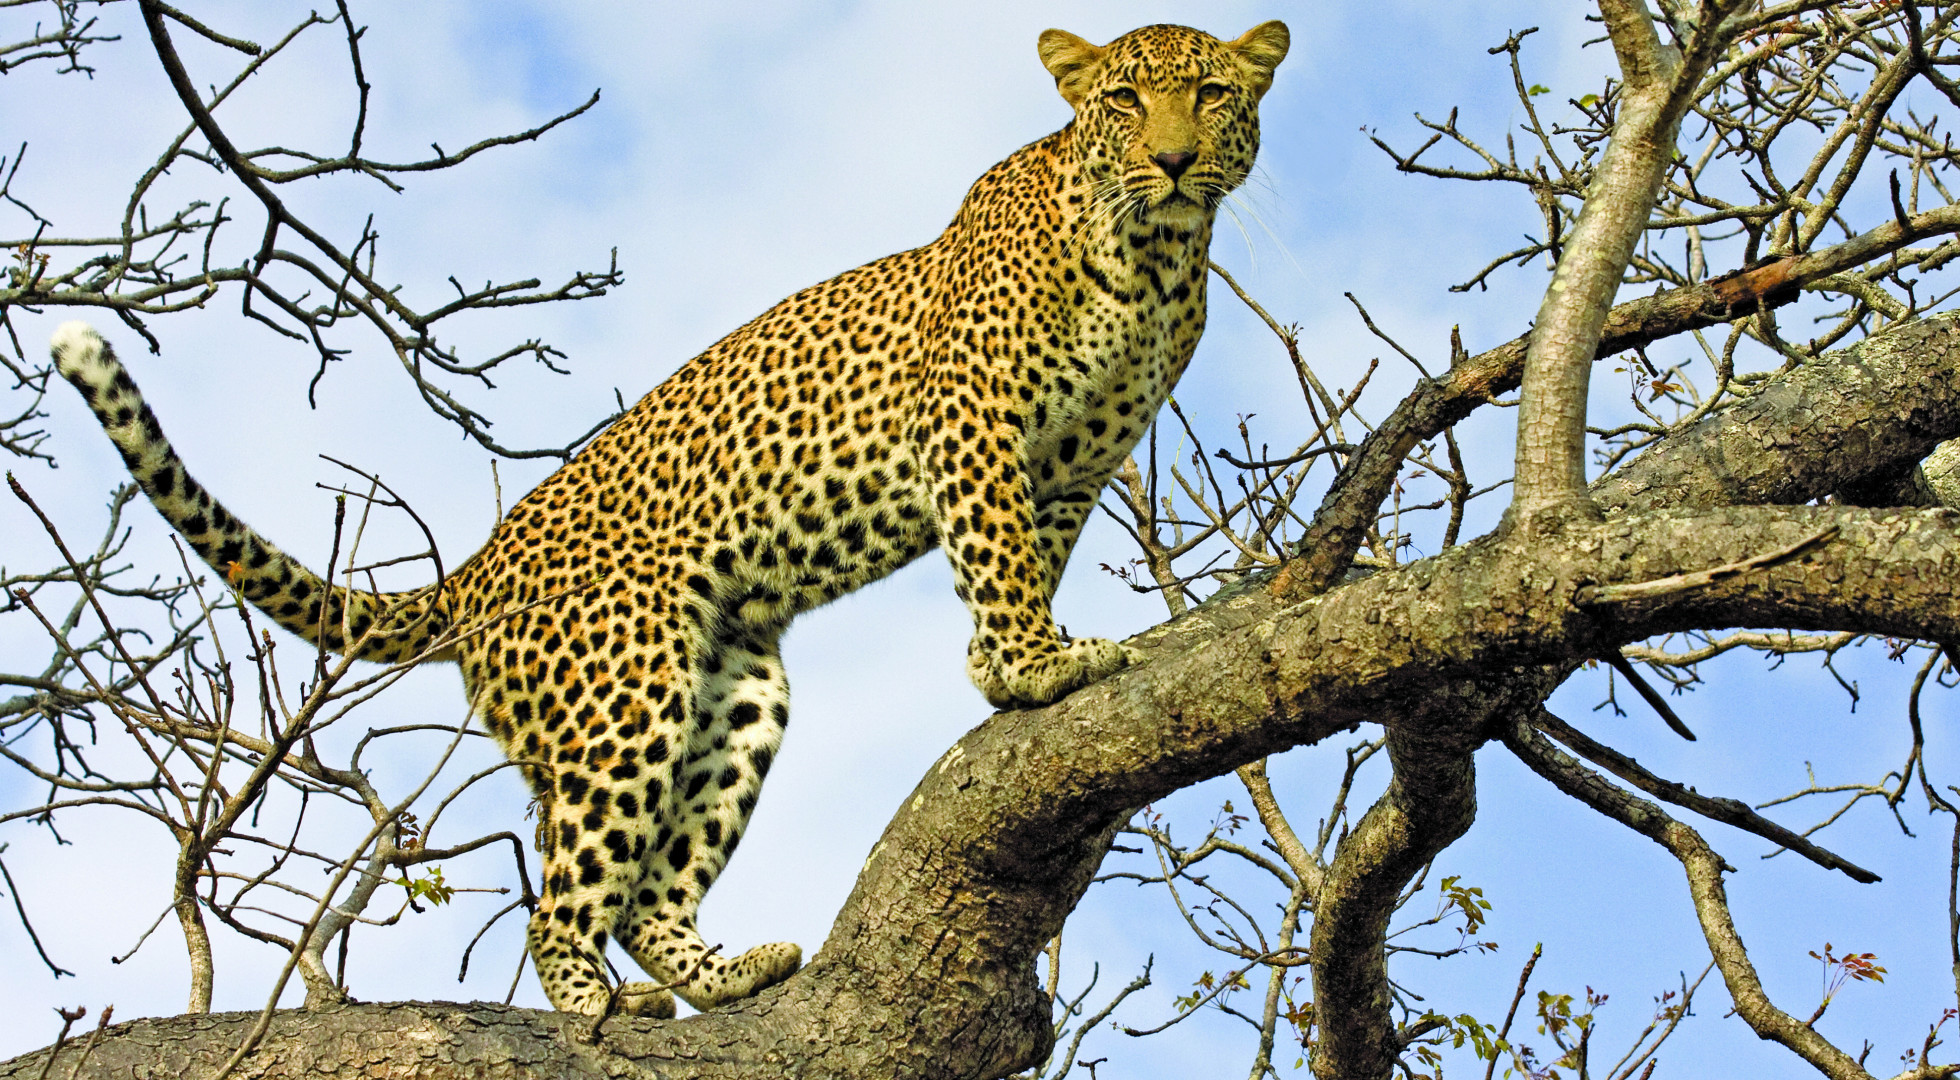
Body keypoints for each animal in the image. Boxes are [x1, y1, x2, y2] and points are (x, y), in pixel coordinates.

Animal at [52, 20, 1289, 1019]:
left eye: (1209, 94)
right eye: (1122, 99)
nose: (1172, 161)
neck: (1150, 257)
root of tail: (477, 567)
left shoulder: (1079, 461)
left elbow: (1034, 551)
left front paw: (1015, 659)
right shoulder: (973, 422)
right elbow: (997, 553)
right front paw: (1032, 665)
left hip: (733, 695)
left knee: (647, 892)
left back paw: (727, 972)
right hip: (622, 695)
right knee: (561, 900)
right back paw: (594, 1007)